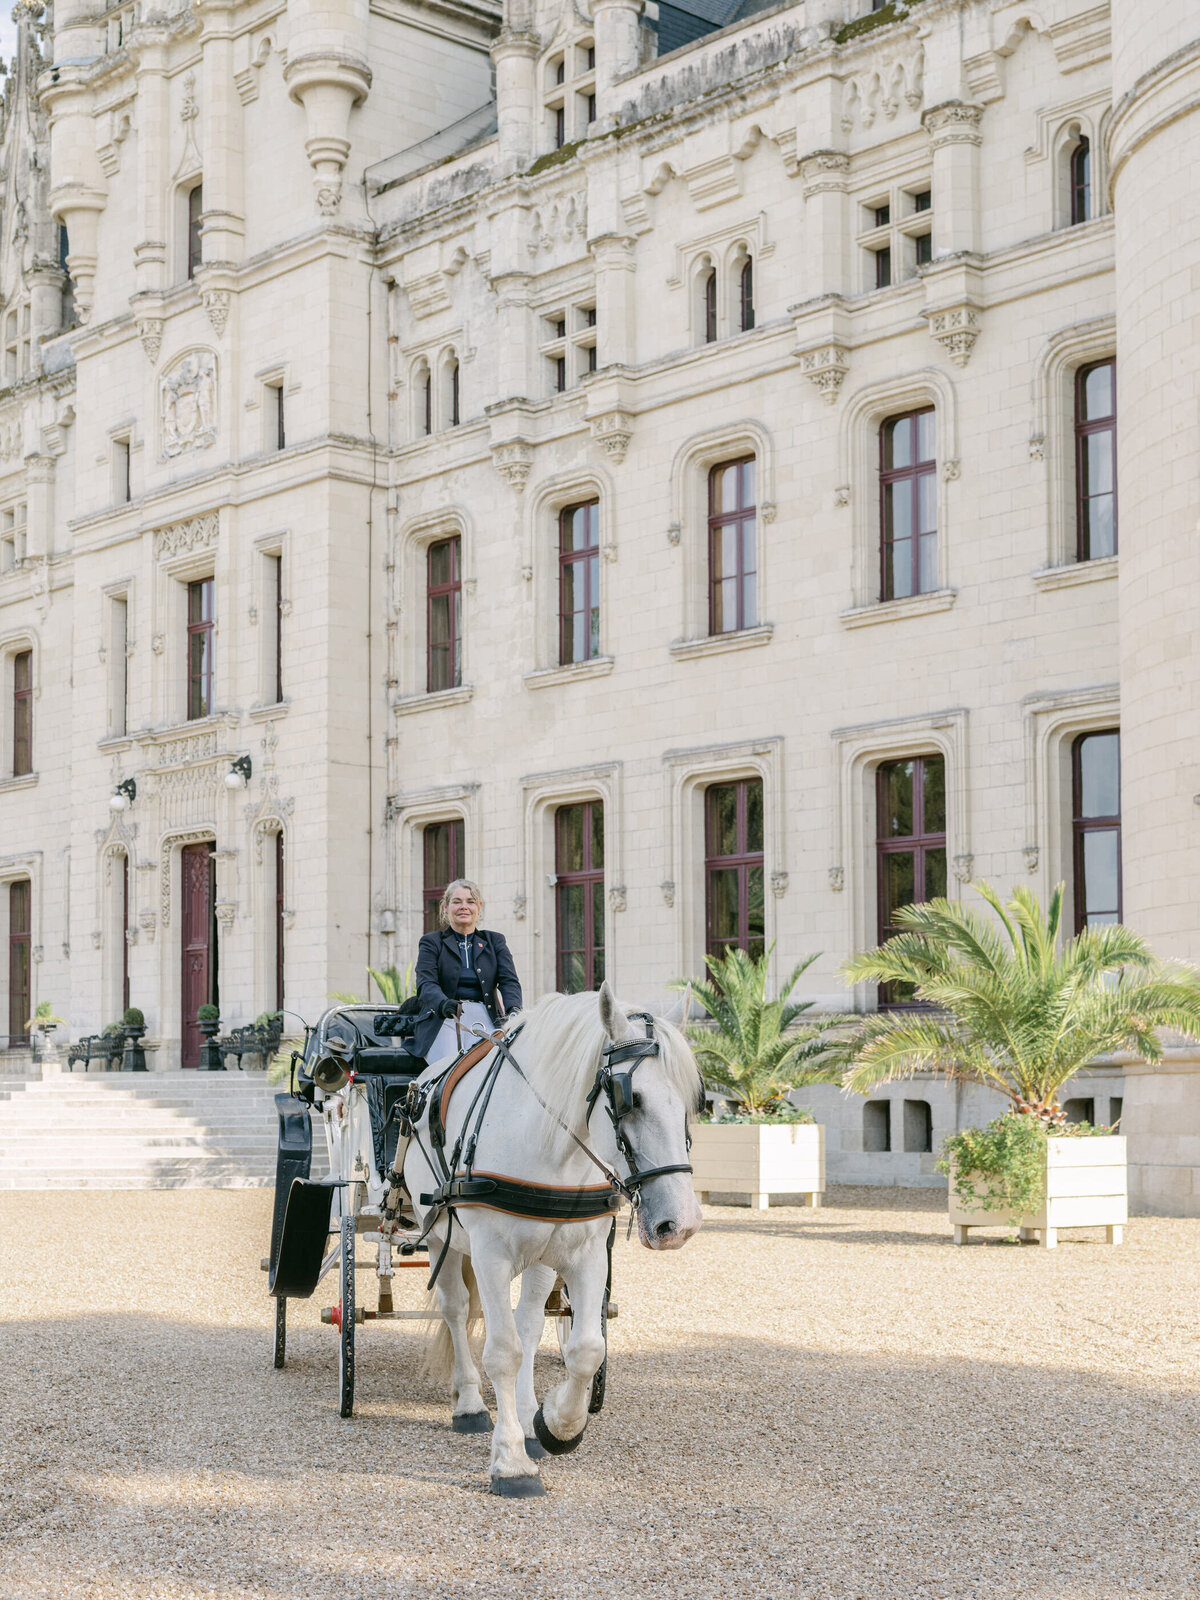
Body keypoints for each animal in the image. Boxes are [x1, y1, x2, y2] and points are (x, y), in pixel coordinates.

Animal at [404, 979, 704, 1491]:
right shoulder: (488, 1254)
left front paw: (555, 1424)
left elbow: (585, 1349)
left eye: (690, 1101)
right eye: (630, 1099)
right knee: (457, 1310)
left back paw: (527, 1419)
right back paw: (470, 1404)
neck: (548, 1144)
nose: (678, 1225)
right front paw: (510, 1463)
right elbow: (502, 1351)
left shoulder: (586, 1253)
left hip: (542, 1257)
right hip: (442, 1238)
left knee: (528, 1323)